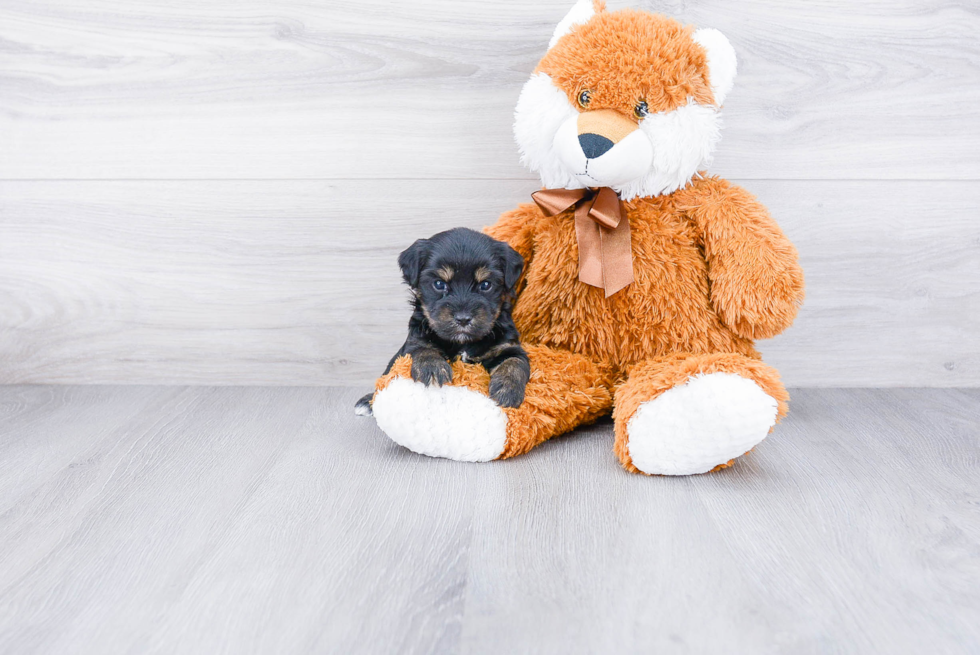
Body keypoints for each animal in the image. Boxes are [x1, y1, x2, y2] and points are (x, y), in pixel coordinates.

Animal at [356, 228, 532, 418]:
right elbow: (424, 350)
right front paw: (433, 369)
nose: (463, 318)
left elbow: (514, 362)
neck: (462, 343)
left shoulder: (508, 347)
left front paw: (507, 389)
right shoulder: (415, 341)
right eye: (439, 284)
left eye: (486, 285)